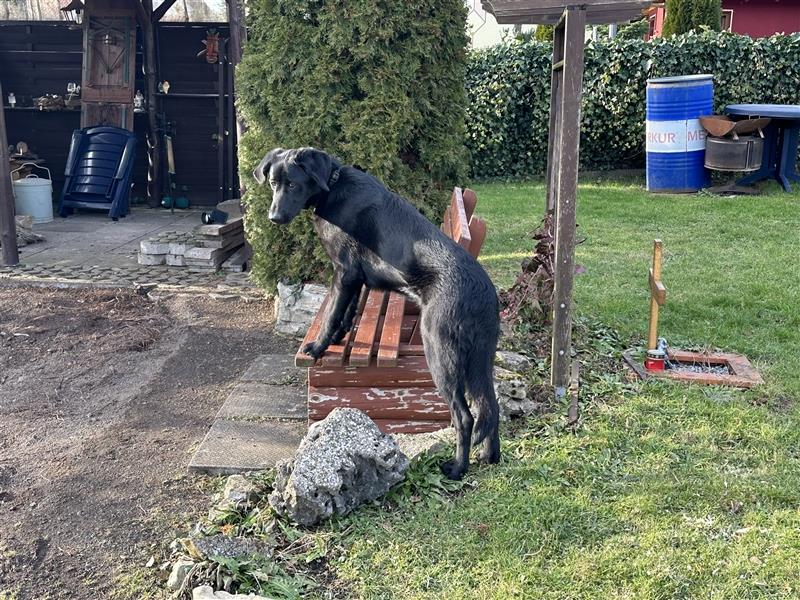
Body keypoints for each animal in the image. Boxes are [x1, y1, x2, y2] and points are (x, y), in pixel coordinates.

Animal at [253, 146, 500, 478]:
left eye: (292, 184)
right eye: (272, 183)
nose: (274, 217)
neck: (333, 186)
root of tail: (482, 293)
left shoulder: (343, 273)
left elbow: (332, 313)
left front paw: (318, 347)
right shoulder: (355, 278)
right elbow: (348, 311)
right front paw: (340, 337)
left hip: (440, 354)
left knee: (465, 417)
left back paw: (458, 468)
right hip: (480, 360)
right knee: (491, 407)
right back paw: (491, 457)